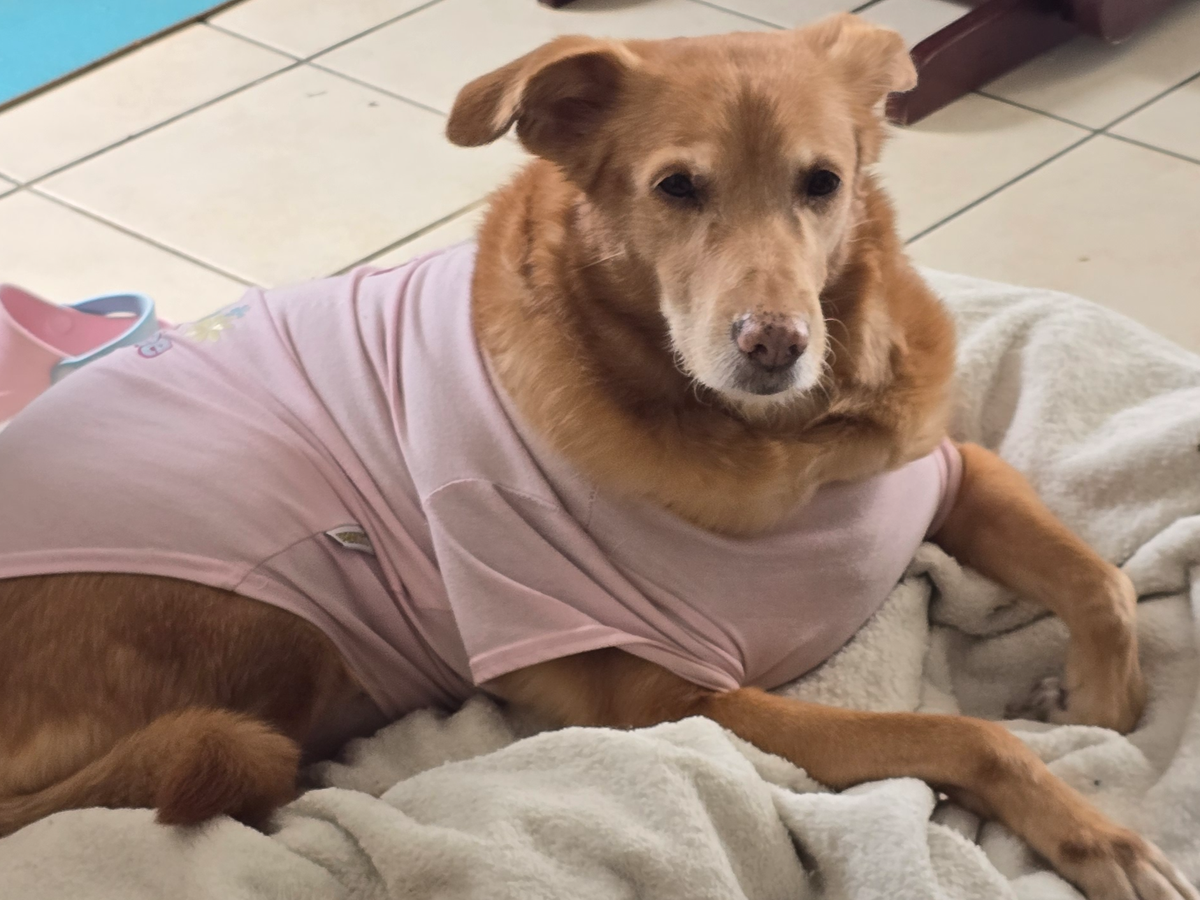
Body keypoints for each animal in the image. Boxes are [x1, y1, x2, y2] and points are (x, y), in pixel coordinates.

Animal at [0, 15, 1193, 899]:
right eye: (676, 188)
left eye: (821, 182)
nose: (774, 344)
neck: (788, 442)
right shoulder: (676, 696)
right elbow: (962, 736)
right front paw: (1099, 836)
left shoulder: (954, 473)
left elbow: (1099, 581)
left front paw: (1099, 706)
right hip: (273, 621)